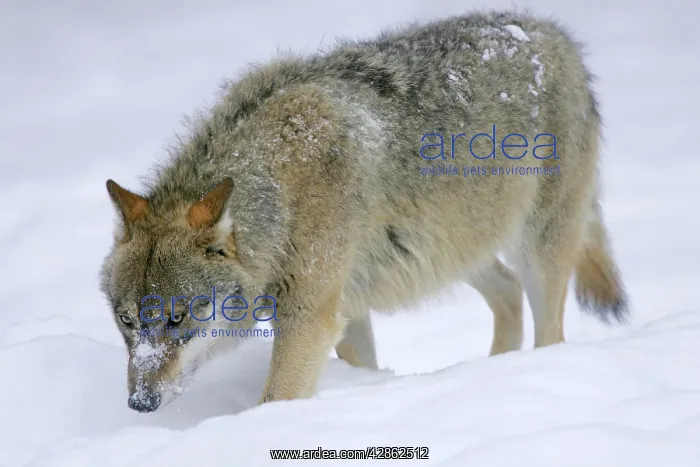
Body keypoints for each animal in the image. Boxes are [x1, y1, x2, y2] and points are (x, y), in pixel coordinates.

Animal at [100, 9, 628, 413]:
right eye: (127, 321)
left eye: (176, 319)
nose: (140, 404)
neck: (279, 186)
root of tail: (554, 33)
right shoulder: (345, 311)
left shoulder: (311, 317)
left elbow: (275, 399)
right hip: (447, 253)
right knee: (507, 290)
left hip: (536, 250)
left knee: (549, 329)